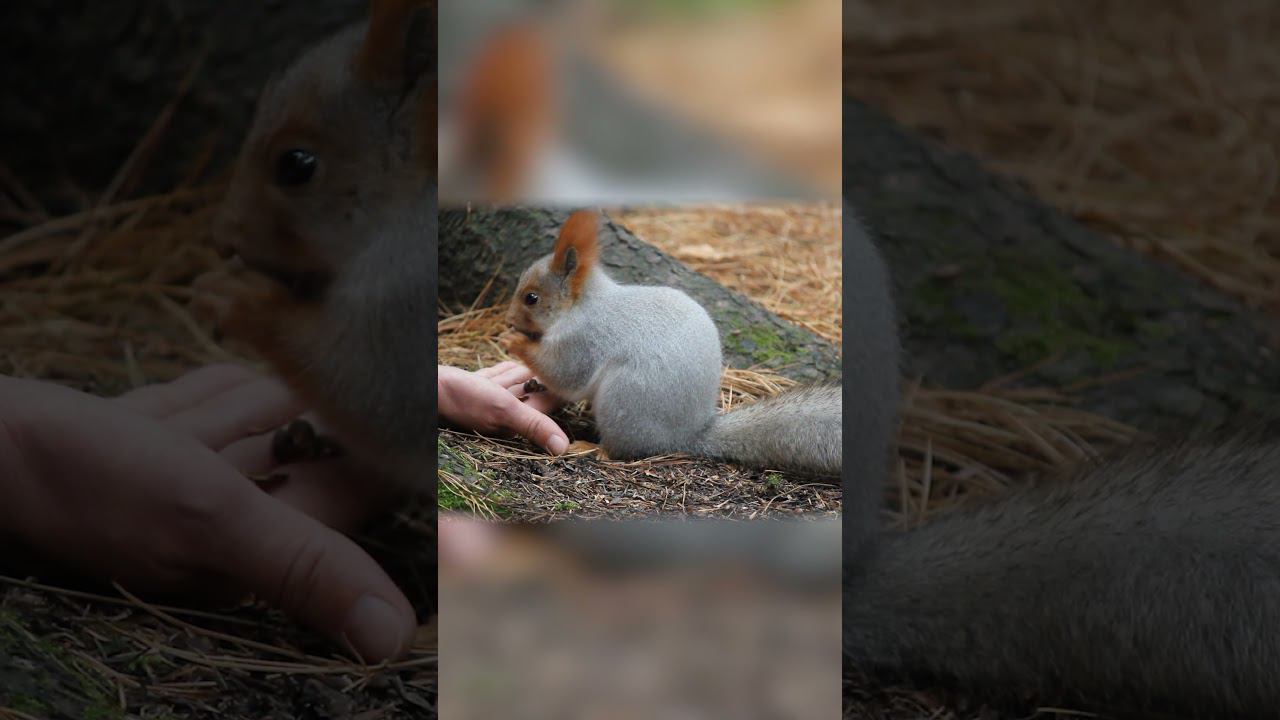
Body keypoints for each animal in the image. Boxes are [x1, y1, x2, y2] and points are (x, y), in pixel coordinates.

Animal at [499, 207, 880, 476]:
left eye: (532, 298)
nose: (509, 320)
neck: (582, 306)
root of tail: (688, 434)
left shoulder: (585, 339)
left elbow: (566, 372)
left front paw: (514, 343)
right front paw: (533, 381)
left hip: (624, 399)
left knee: (623, 450)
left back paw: (590, 447)